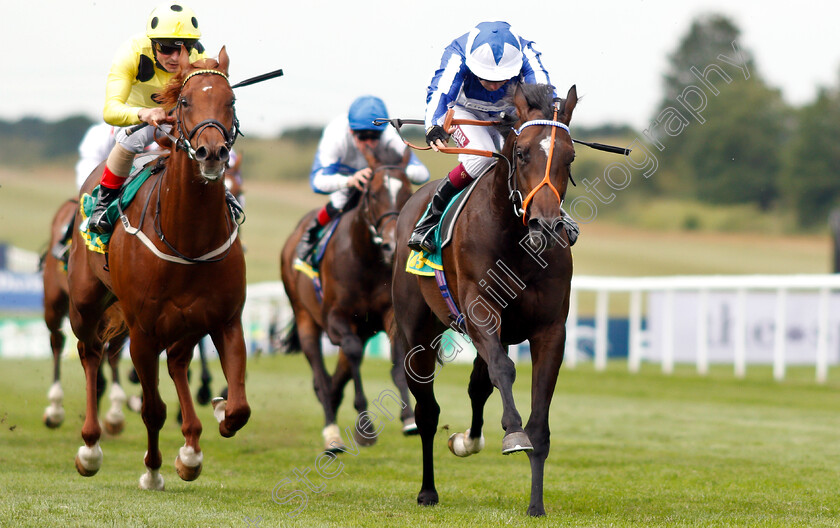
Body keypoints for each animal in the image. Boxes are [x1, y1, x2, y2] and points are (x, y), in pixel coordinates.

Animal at [65, 47, 249, 488]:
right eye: (184, 102)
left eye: (231, 100)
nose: (212, 153)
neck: (188, 239)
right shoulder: (143, 333)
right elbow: (152, 409)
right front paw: (152, 471)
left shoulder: (226, 319)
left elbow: (239, 407)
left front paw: (216, 415)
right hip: (85, 303)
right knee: (90, 353)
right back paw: (90, 446)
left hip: (188, 322)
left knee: (179, 361)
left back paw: (191, 446)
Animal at [278, 146, 416, 452]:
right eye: (373, 194)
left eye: (407, 192)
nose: (391, 244)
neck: (364, 259)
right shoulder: (335, 317)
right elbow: (352, 353)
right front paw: (365, 427)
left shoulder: (388, 313)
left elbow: (397, 357)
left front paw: (409, 418)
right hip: (305, 318)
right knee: (320, 372)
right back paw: (332, 434)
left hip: (361, 328)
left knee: (334, 379)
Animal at [392, 82, 576, 516]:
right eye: (522, 152)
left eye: (570, 156)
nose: (547, 224)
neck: (518, 243)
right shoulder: (480, 313)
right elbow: (504, 371)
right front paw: (513, 434)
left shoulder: (550, 330)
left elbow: (538, 420)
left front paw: (536, 505)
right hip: (417, 333)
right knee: (428, 412)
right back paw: (428, 490)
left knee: (479, 384)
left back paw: (468, 441)